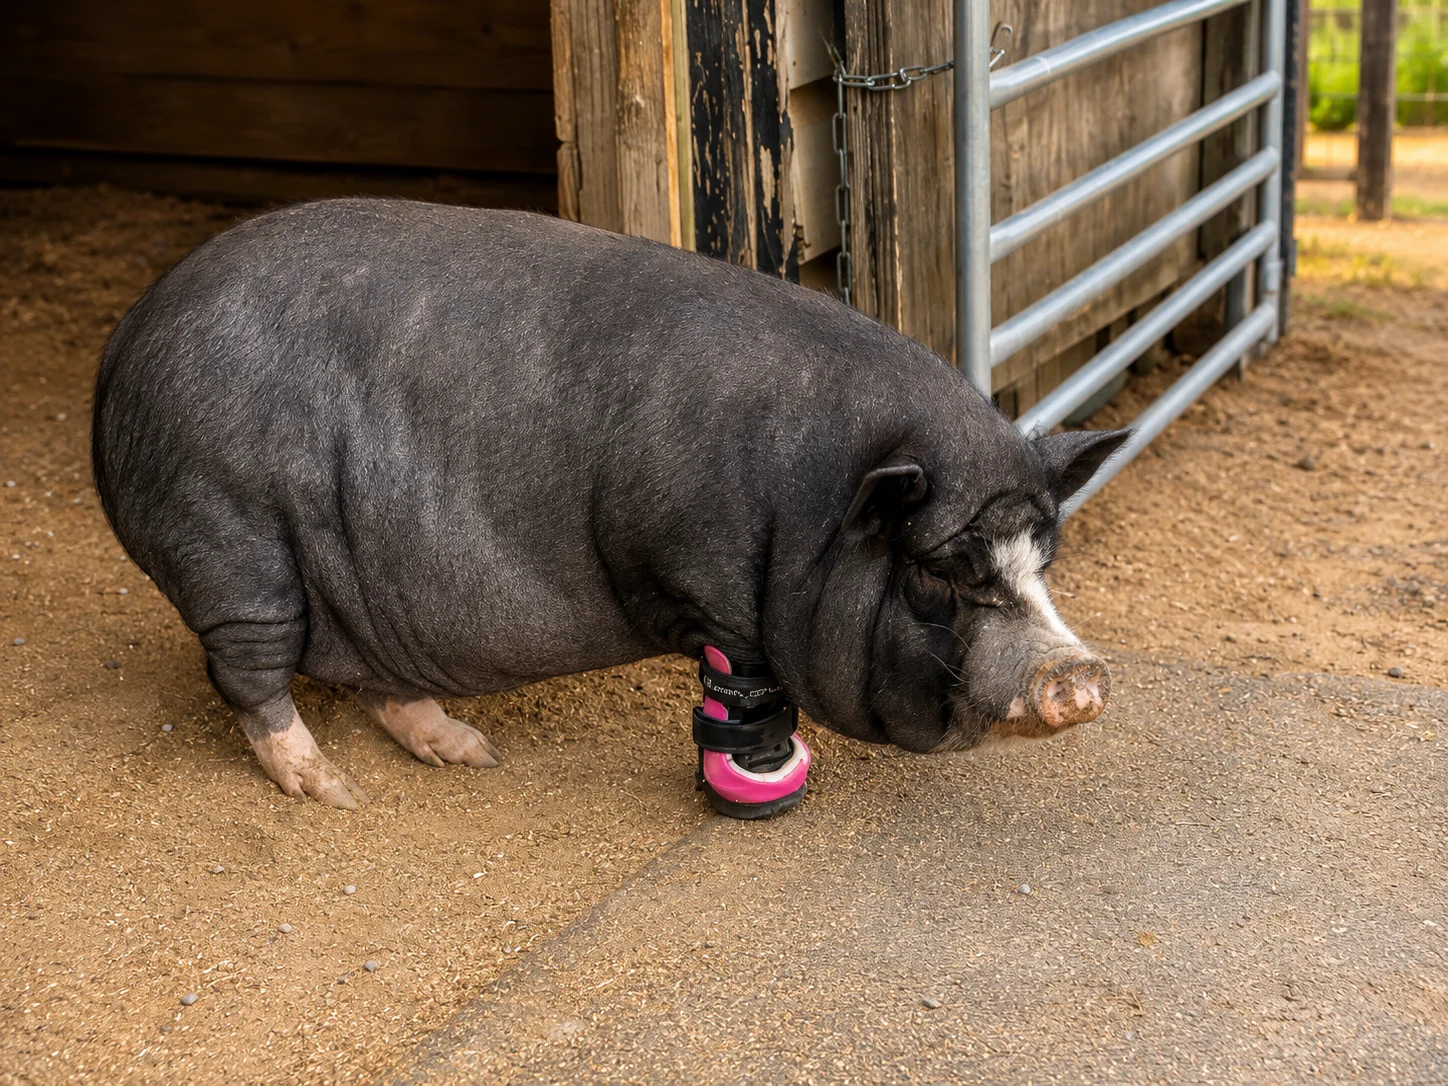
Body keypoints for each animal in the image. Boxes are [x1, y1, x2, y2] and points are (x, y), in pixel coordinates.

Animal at [92, 199, 1128, 809]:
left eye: (1045, 561)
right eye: (939, 573)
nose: (1081, 674)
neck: (815, 515)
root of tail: (122, 352)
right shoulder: (712, 589)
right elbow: (743, 697)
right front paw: (763, 792)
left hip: (354, 578)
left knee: (377, 679)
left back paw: (470, 752)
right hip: (229, 547)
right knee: (249, 678)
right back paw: (333, 793)